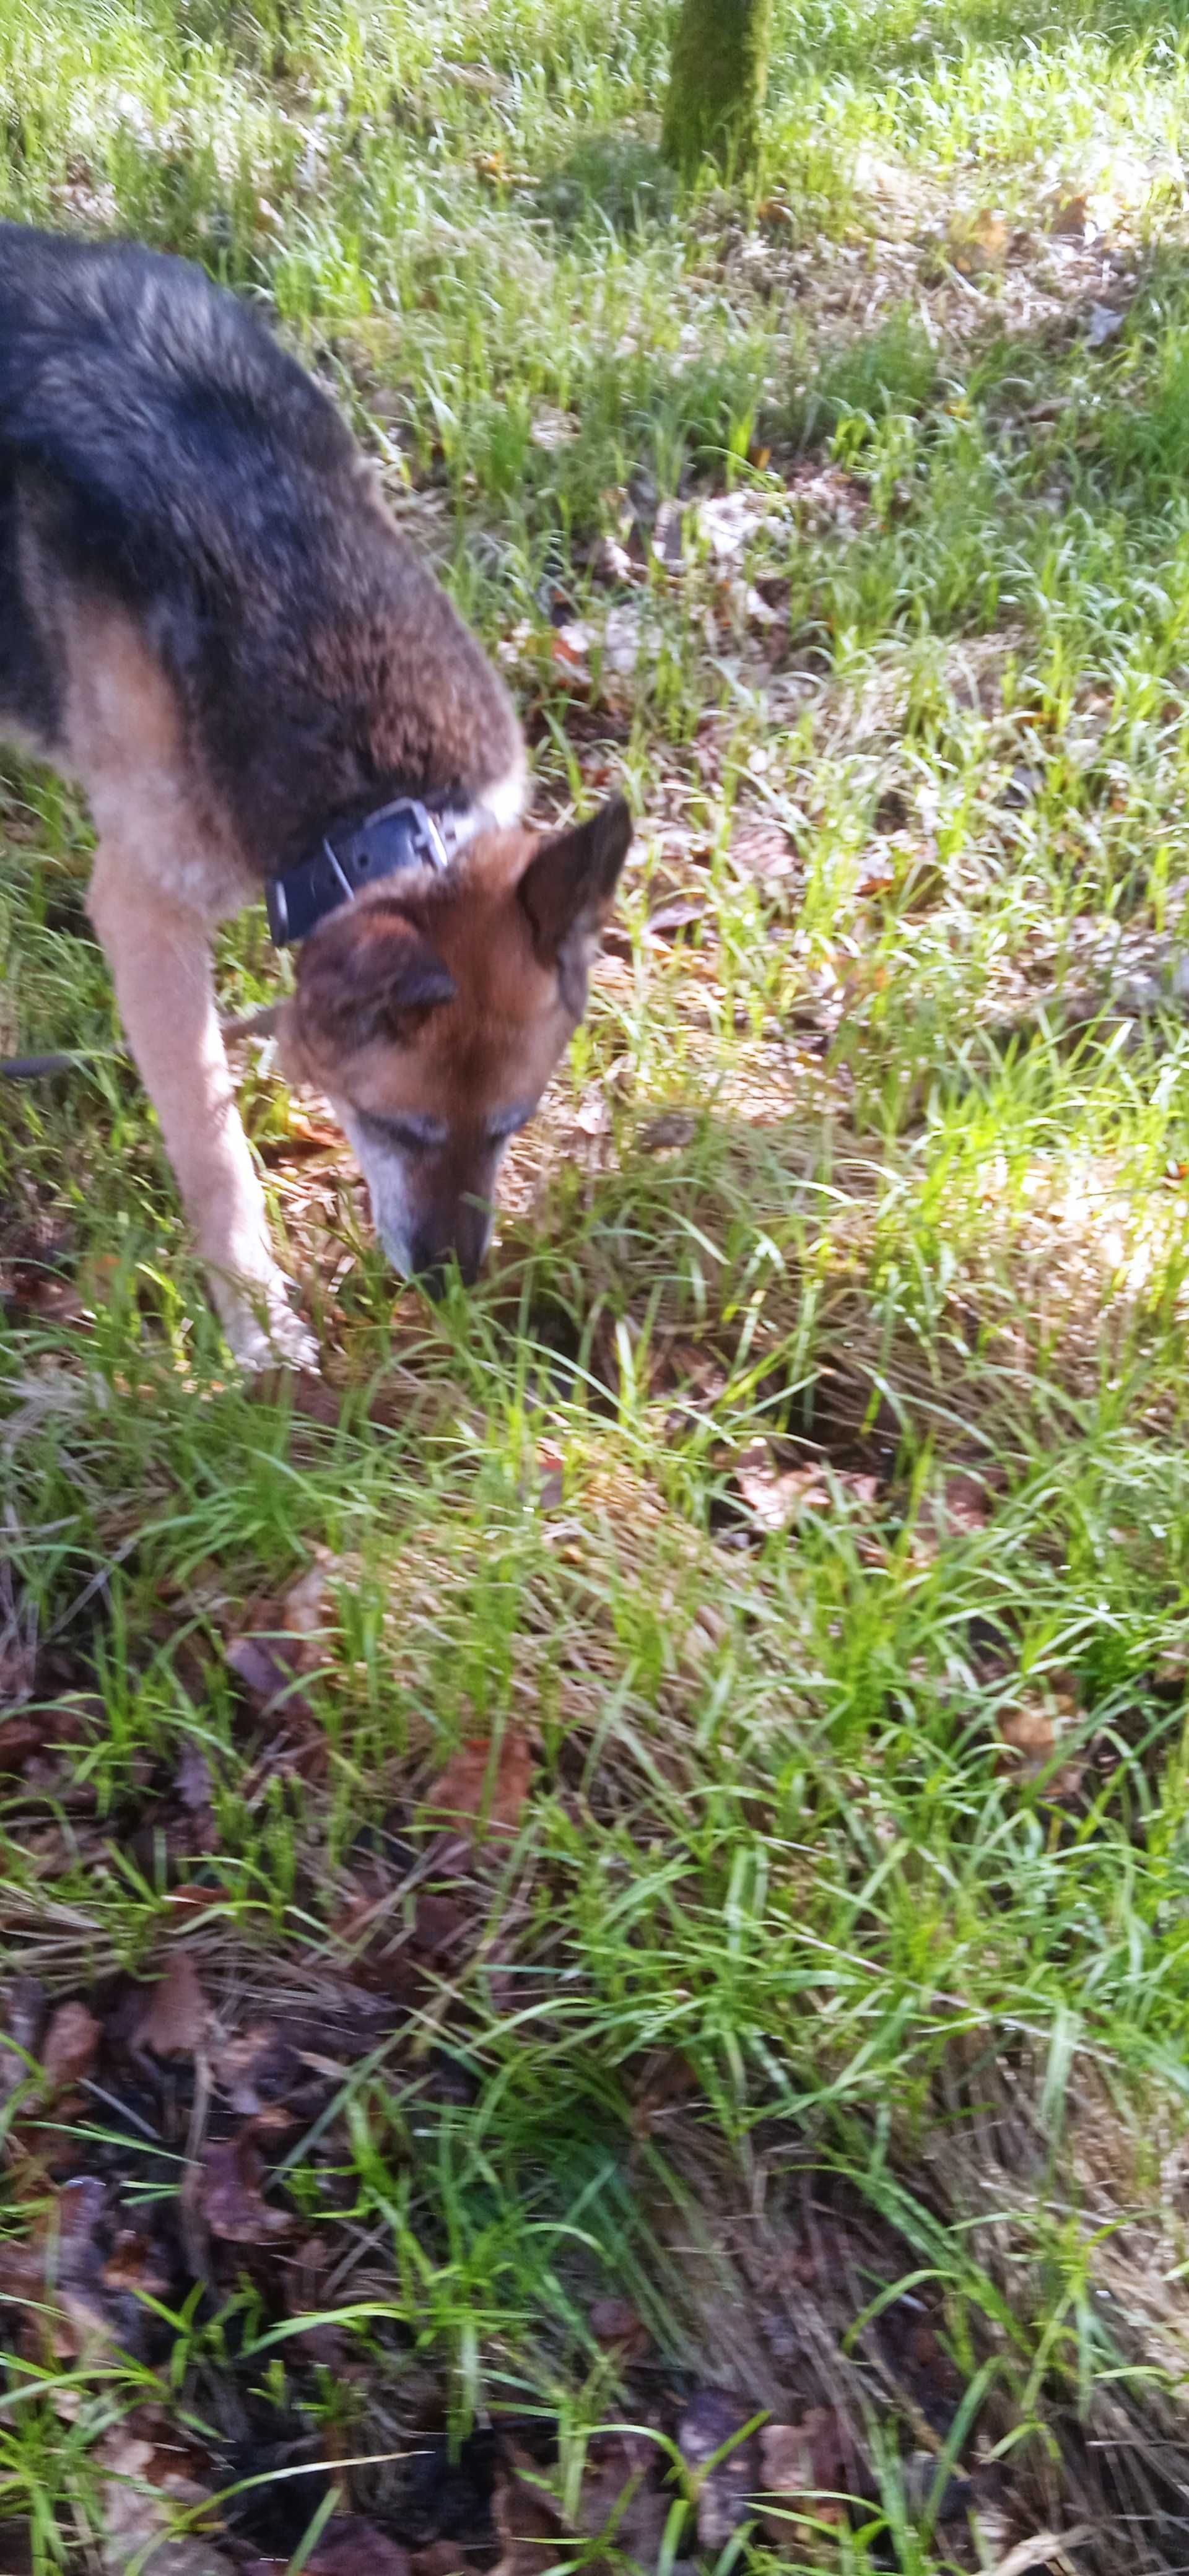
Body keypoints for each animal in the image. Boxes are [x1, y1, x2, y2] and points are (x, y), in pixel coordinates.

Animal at [0, 221, 630, 1370]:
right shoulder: (147, 920)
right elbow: (213, 1150)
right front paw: (254, 1317)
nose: (450, 1290)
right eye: (398, 1128)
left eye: (512, 1126)